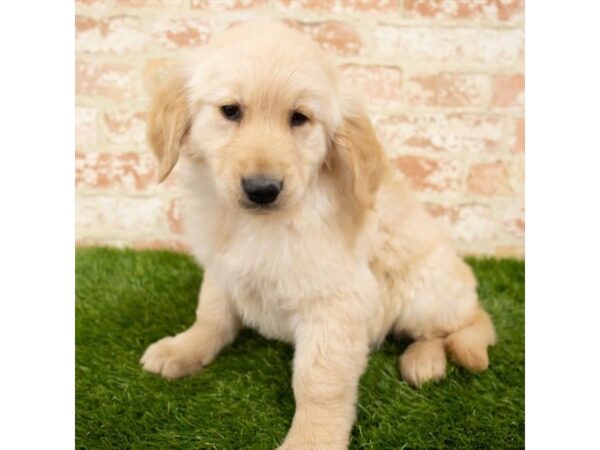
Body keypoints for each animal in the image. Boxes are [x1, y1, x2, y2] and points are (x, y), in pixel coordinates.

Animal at [141, 20, 496, 450]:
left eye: (299, 118)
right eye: (230, 111)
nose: (262, 189)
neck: (259, 224)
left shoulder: (335, 302)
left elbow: (319, 381)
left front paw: (311, 439)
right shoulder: (222, 269)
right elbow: (210, 316)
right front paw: (184, 348)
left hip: (425, 292)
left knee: (471, 323)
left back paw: (424, 361)